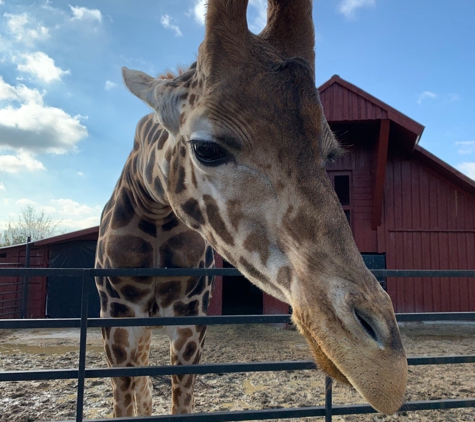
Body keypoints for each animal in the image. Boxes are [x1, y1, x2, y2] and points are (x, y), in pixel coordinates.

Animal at [96, 0, 410, 416]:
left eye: (330, 154)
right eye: (206, 148)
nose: (386, 373)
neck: (155, 213)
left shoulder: (191, 323)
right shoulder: (117, 323)